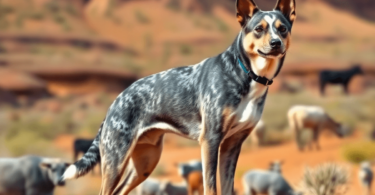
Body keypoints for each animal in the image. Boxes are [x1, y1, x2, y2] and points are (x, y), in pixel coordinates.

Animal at [62, 0, 296, 194]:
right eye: (259, 29)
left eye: (283, 29)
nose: (276, 43)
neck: (245, 72)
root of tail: (116, 101)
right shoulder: (210, 140)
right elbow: (211, 186)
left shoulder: (232, 144)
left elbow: (227, 187)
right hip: (116, 158)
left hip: (145, 163)